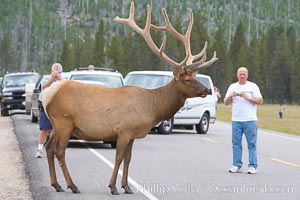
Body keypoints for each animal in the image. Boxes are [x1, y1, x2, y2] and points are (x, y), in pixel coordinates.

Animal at [42, 1, 218, 195]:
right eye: (187, 79)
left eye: (195, 76)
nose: (206, 89)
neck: (152, 108)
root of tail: (46, 94)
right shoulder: (124, 129)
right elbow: (118, 158)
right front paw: (113, 187)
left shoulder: (133, 133)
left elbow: (128, 158)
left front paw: (126, 187)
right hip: (64, 122)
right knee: (59, 151)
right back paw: (72, 185)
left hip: (56, 124)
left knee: (49, 148)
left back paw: (56, 184)